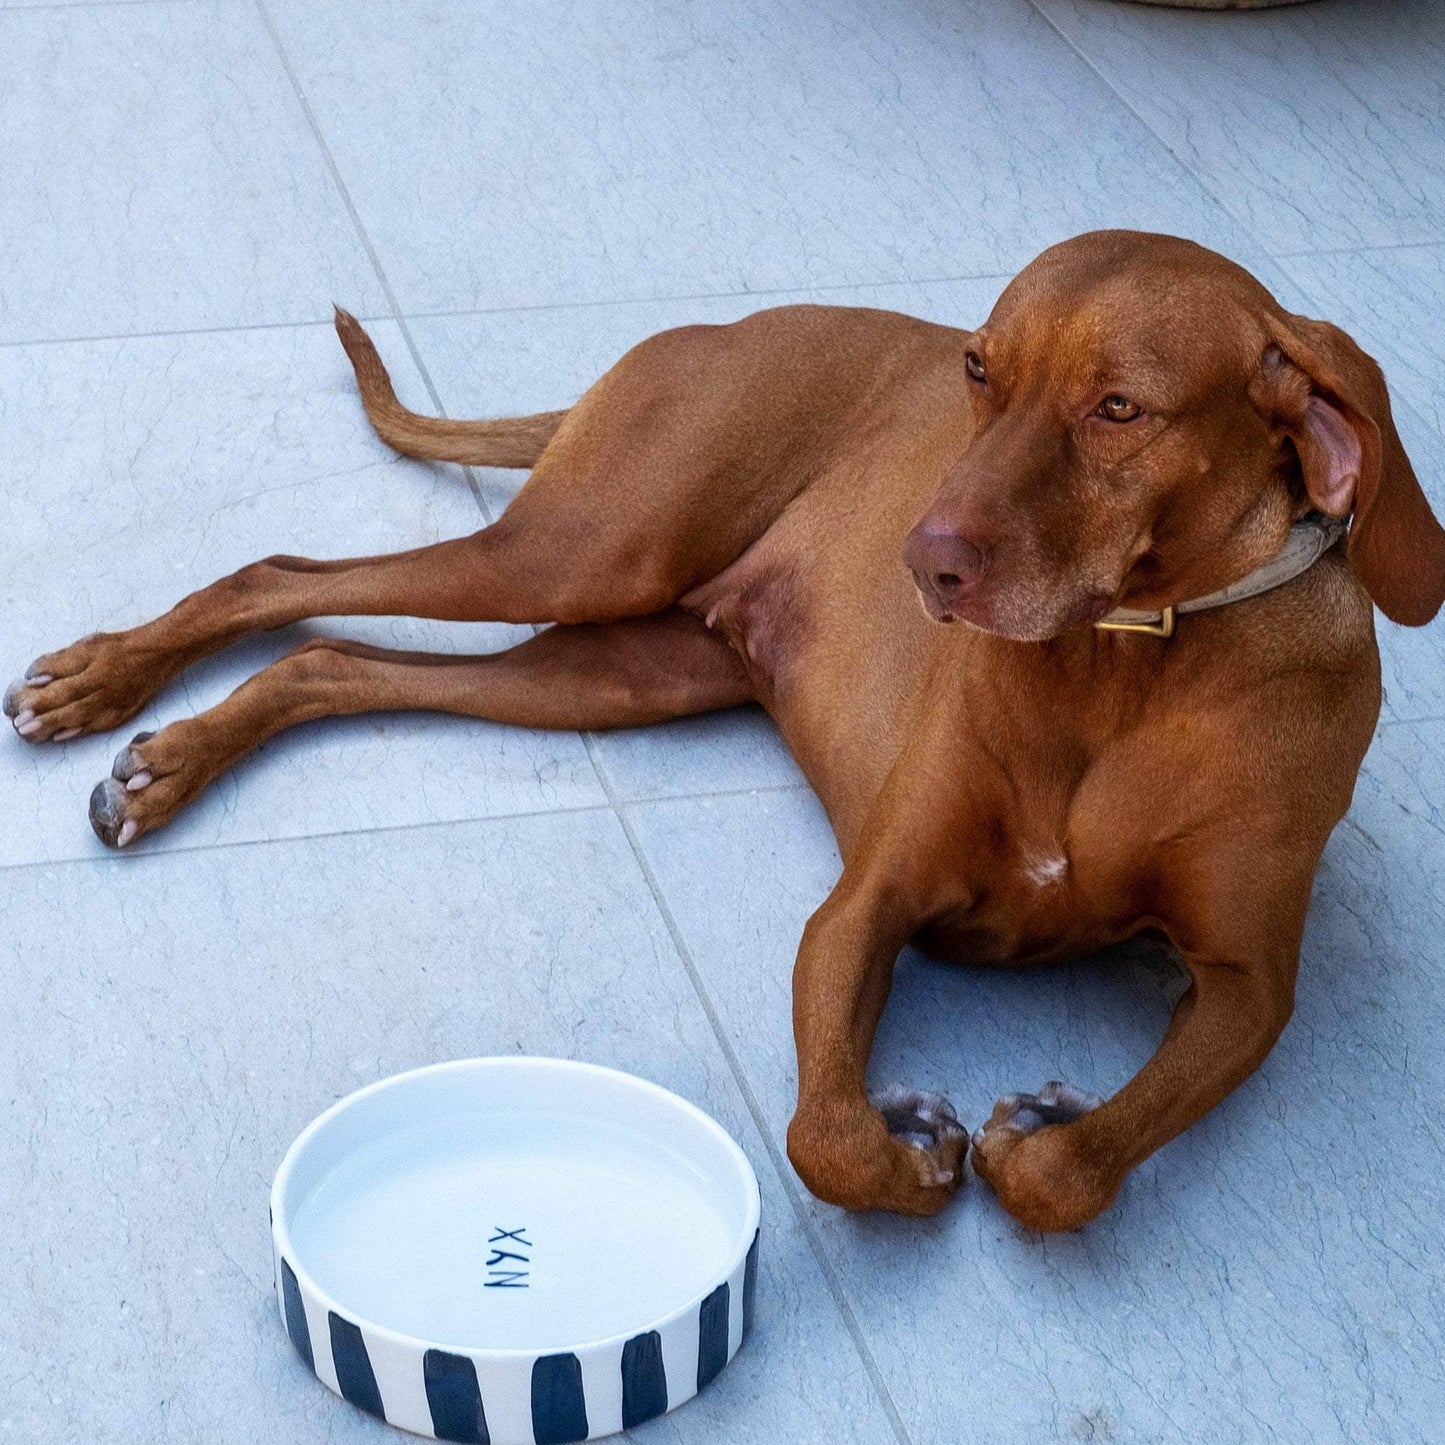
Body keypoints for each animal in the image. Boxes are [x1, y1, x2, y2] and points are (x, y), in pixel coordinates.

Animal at [11, 231, 1445, 1225]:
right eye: (978, 371)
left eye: (1119, 409)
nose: (920, 563)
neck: (1125, 663)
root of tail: (718, 329)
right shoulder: (869, 898)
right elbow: (824, 1138)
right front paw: (914, 1152)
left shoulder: (1251, 985)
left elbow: (1071, 1170)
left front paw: (1043, 1121)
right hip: (584, 549)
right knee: (283, 575)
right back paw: (106, 695)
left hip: (613, 667)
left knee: (329, 659)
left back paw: (165, 756)